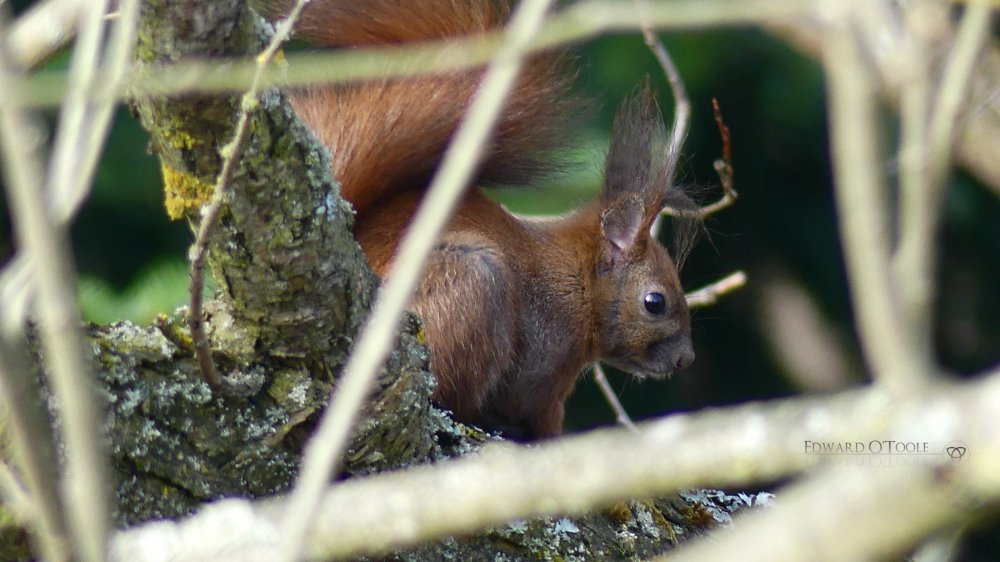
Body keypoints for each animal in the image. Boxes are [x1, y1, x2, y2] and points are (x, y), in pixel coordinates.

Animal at [282, 0, 700, 438]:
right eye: (655, 302)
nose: (685, 359)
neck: (579, 281)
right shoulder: (546, 361)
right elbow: (536, 412)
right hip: (473, 282)